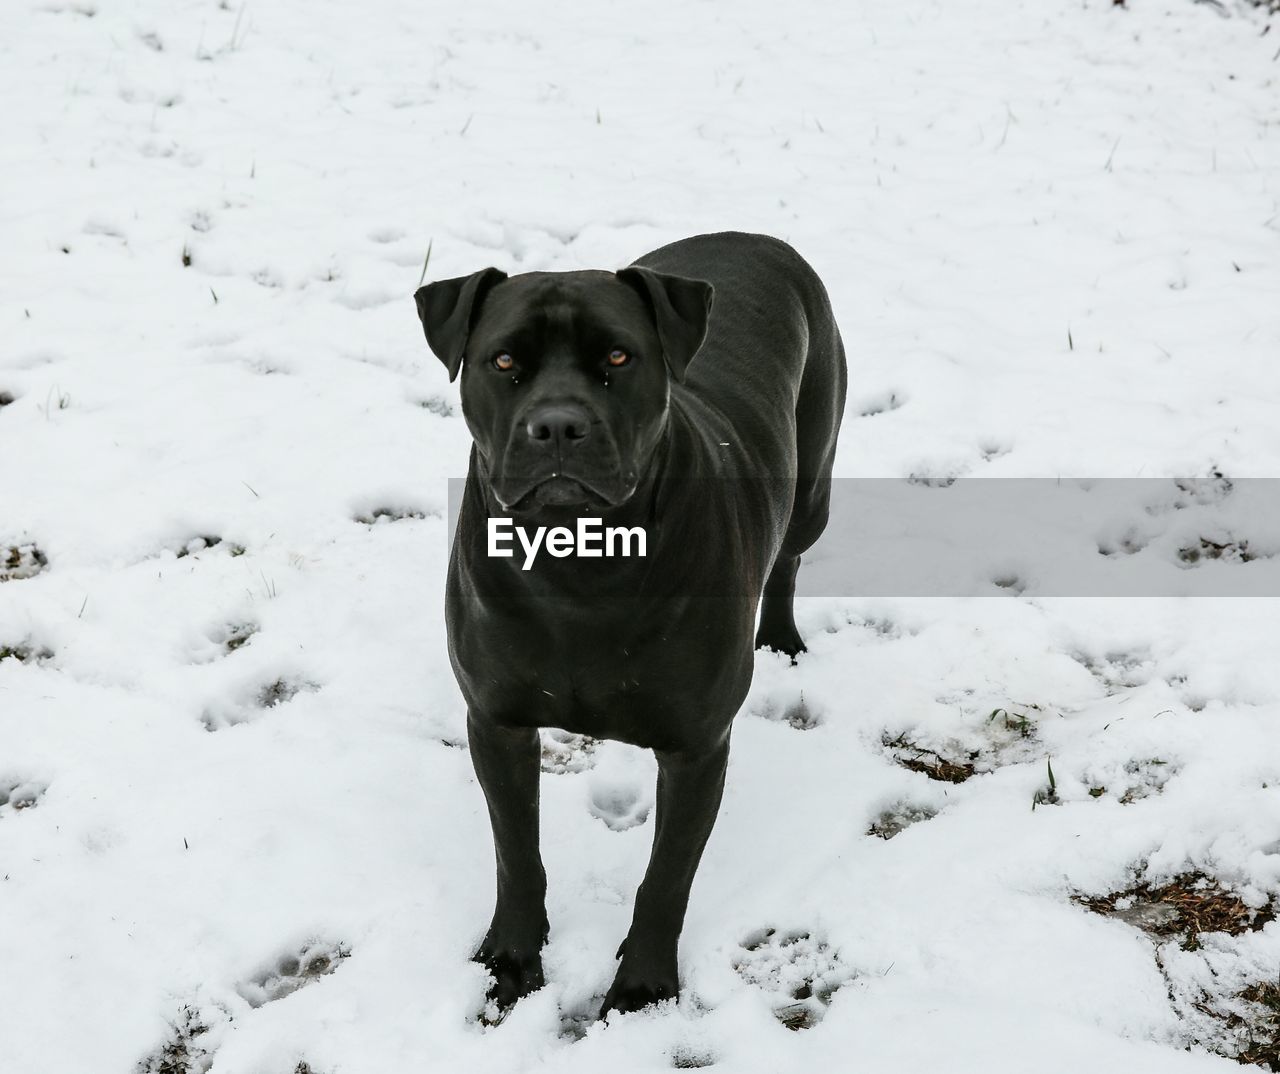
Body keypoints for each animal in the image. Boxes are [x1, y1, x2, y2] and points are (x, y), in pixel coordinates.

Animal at [414, 230, 844, 1018]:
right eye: (504, 361)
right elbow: (516, 854)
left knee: (791, 556)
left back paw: (781, 638)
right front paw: (512, 960)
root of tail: (753, 236)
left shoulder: (697, 747)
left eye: (618, 357)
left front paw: (642, 988)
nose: (558, 425)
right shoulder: (497, 722)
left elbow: (667, 877)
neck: (580, 566)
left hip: (813, 487)